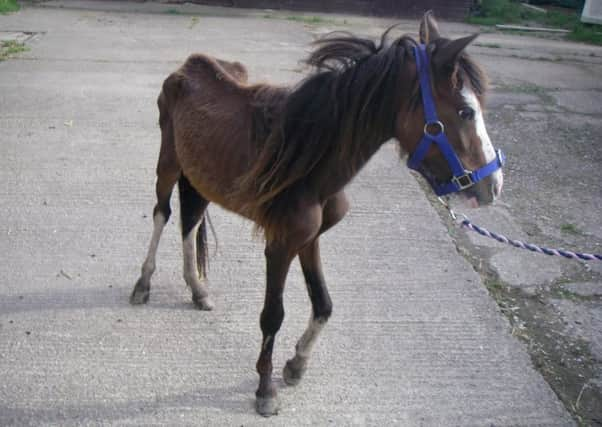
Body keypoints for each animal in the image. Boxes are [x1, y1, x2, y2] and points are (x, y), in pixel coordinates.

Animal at [130, 10, 502, 418]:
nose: (493, 185)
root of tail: (190, 64)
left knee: (190, 220)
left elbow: (323, 305)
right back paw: (143, 284)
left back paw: (197, 290)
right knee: (162, 214)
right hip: (168, 165)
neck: (308, 162)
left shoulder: (309, 239)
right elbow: (272, 315)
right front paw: (265, 390)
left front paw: (296, 365)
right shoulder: (279, 245)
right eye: (466, 111)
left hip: (198, 178)